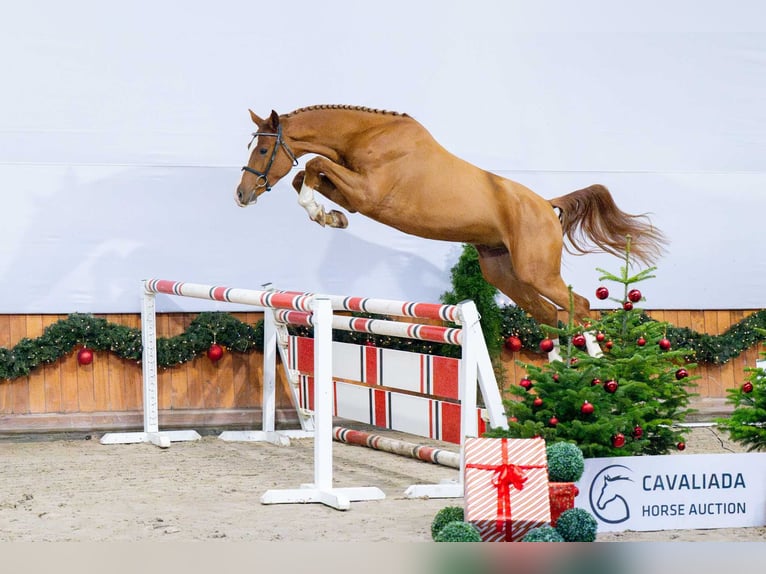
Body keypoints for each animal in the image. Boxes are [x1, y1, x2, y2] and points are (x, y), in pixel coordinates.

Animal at [235, 105, 667, 328]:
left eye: (262, 150)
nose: (241, 194)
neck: (367, 136)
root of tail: (547, 204)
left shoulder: (368, 193)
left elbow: (312, 165)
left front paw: (322, 214)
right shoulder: (354, 194)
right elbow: (305, 175)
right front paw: (331, 217)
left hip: (537, 272)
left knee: (581, 306)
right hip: (504, 273)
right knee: (550, 315)